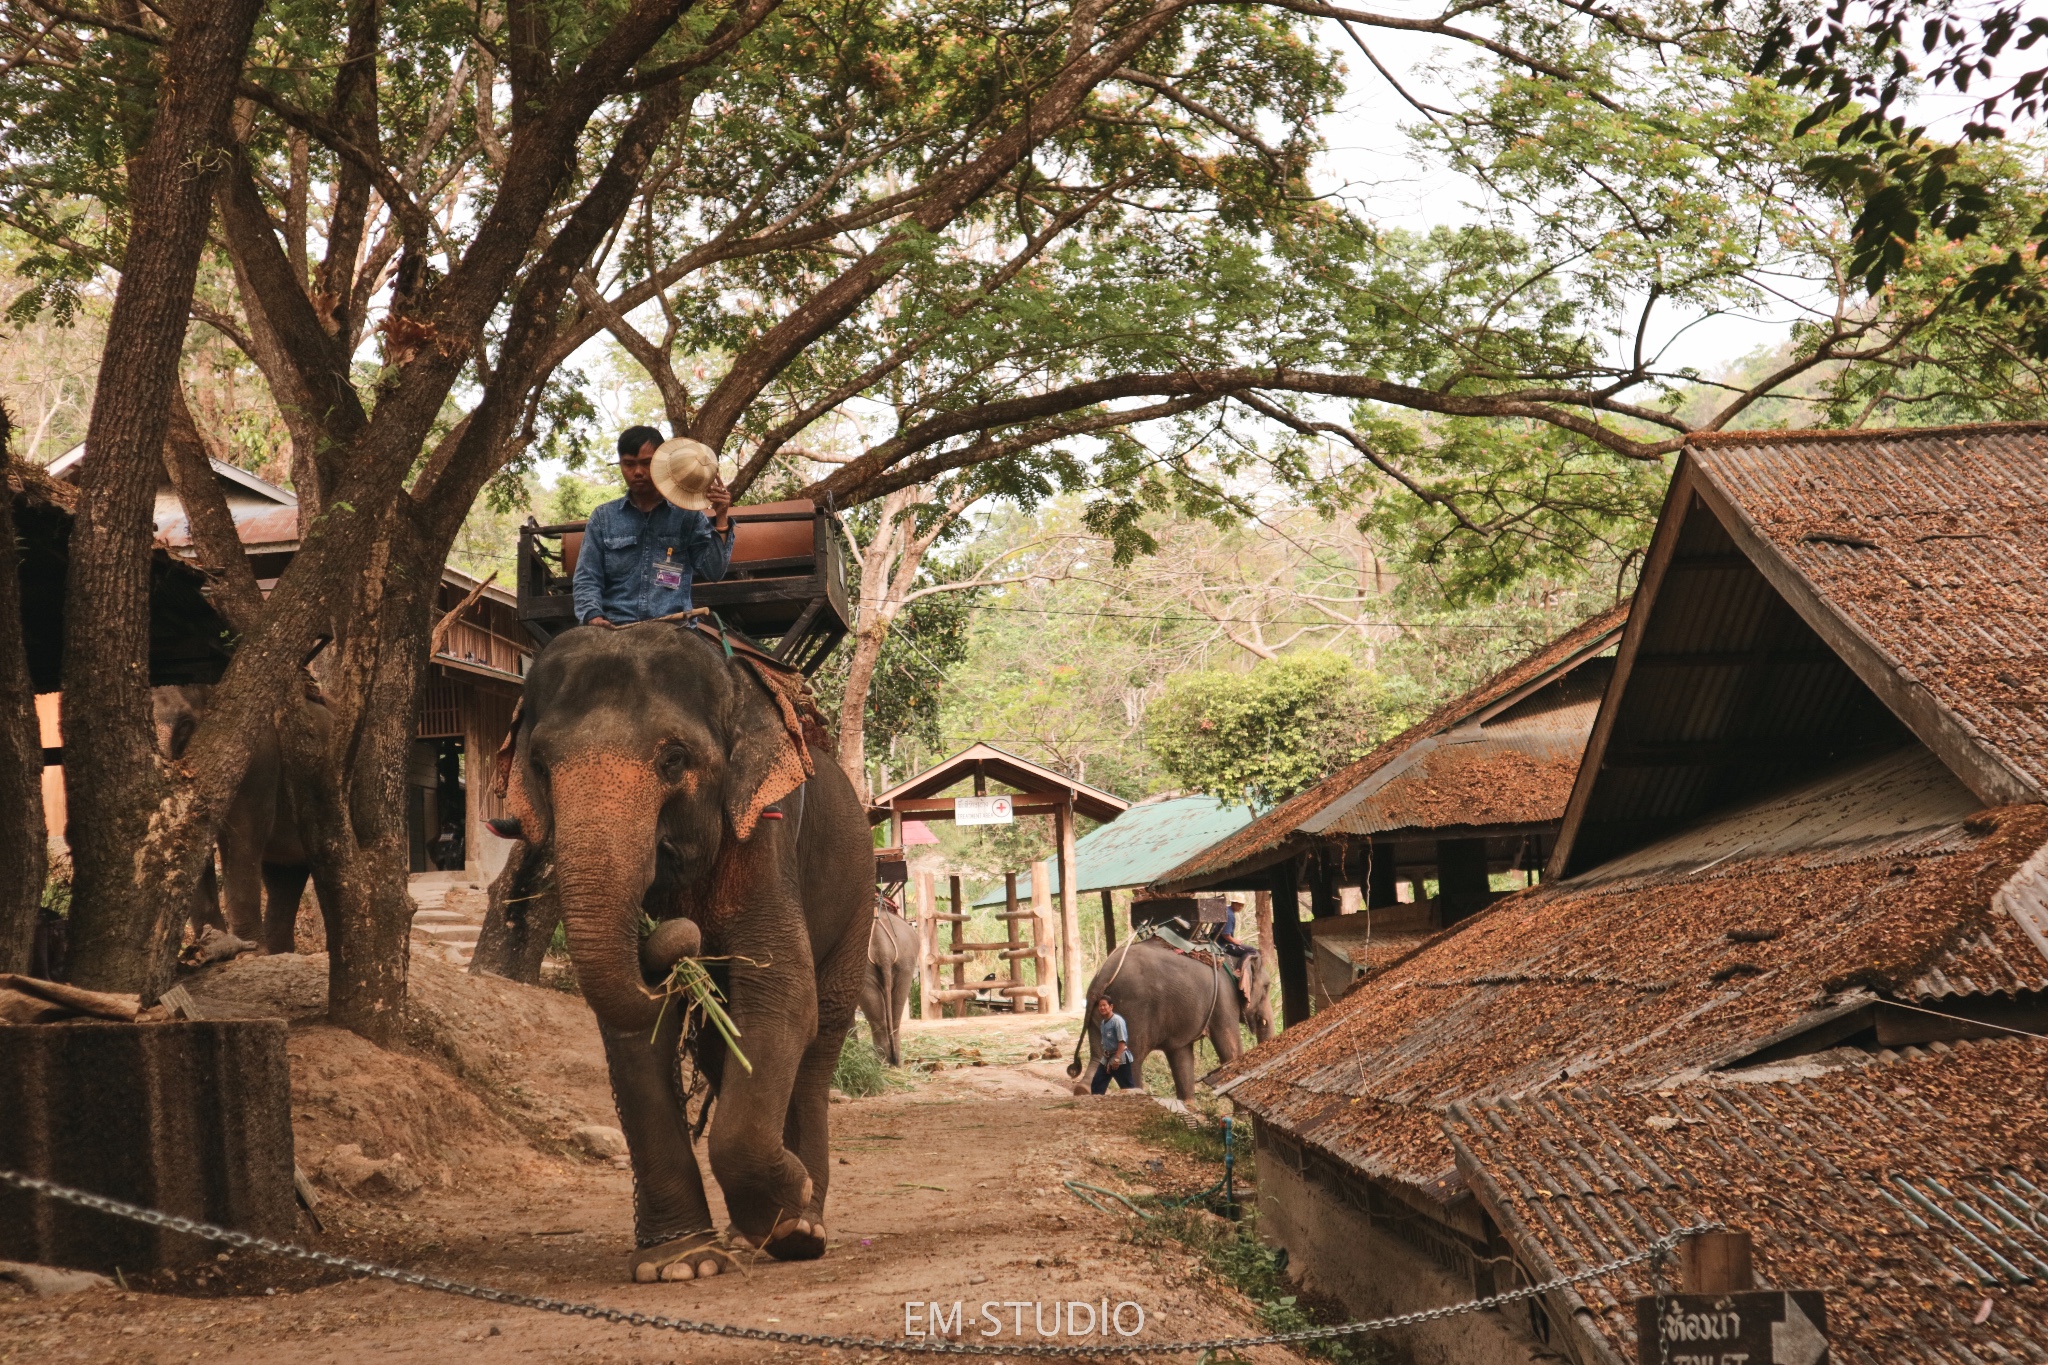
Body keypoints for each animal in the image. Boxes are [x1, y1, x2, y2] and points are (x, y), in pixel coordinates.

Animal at [151, 683, 329, 961]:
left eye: (185, 723)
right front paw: (211, 946)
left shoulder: (258, 763)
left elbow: (244, 836)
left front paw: (249, 955)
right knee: (284, 878)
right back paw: (280, 954)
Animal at [507, 626, 876, 1285]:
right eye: (541, 766)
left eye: (674, 759)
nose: (674, 937)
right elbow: (635, 1031)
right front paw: (679, 1265)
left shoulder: (765, 830)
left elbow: (781, 993)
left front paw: (788, 1212)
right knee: (716, 1048)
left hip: (859, 894)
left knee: (821, 1035)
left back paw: (804, 1227)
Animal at [1064, 933, 1269, 1105]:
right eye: (1267, 987)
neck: (1231, 956)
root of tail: (1102, 977)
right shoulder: (1224, 1000)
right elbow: (1230, 1050)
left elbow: (1182, 1055)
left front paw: (1189, 1105)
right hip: (1133, 1012)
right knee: (1131, 1059)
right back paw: (1135, 1093)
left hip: (1099, 1015)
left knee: (1099, 1054)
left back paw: (1084, 1091)